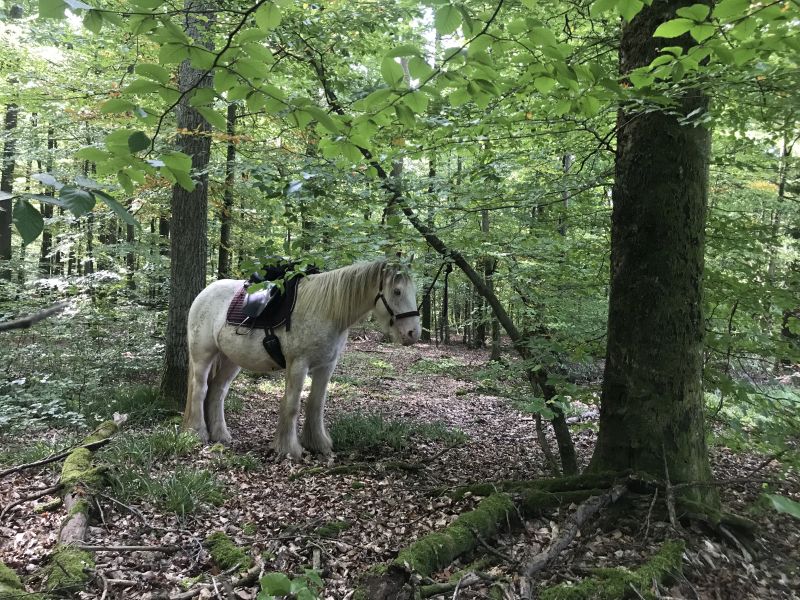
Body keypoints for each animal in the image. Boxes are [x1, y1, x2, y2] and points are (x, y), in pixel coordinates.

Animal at [180, 258, 418, 460]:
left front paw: (318, 444)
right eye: (397, 291)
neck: (327, 310)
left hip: (230, 360)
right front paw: (288, 448)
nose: (413, 333)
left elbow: (316, 404)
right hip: (203, 356)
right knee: (200, 389)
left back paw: (221, 435)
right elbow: (293, 405)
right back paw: (197, 432)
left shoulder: (326, 367)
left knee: (217, 392)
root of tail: (203, 294)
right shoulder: (298, 365)